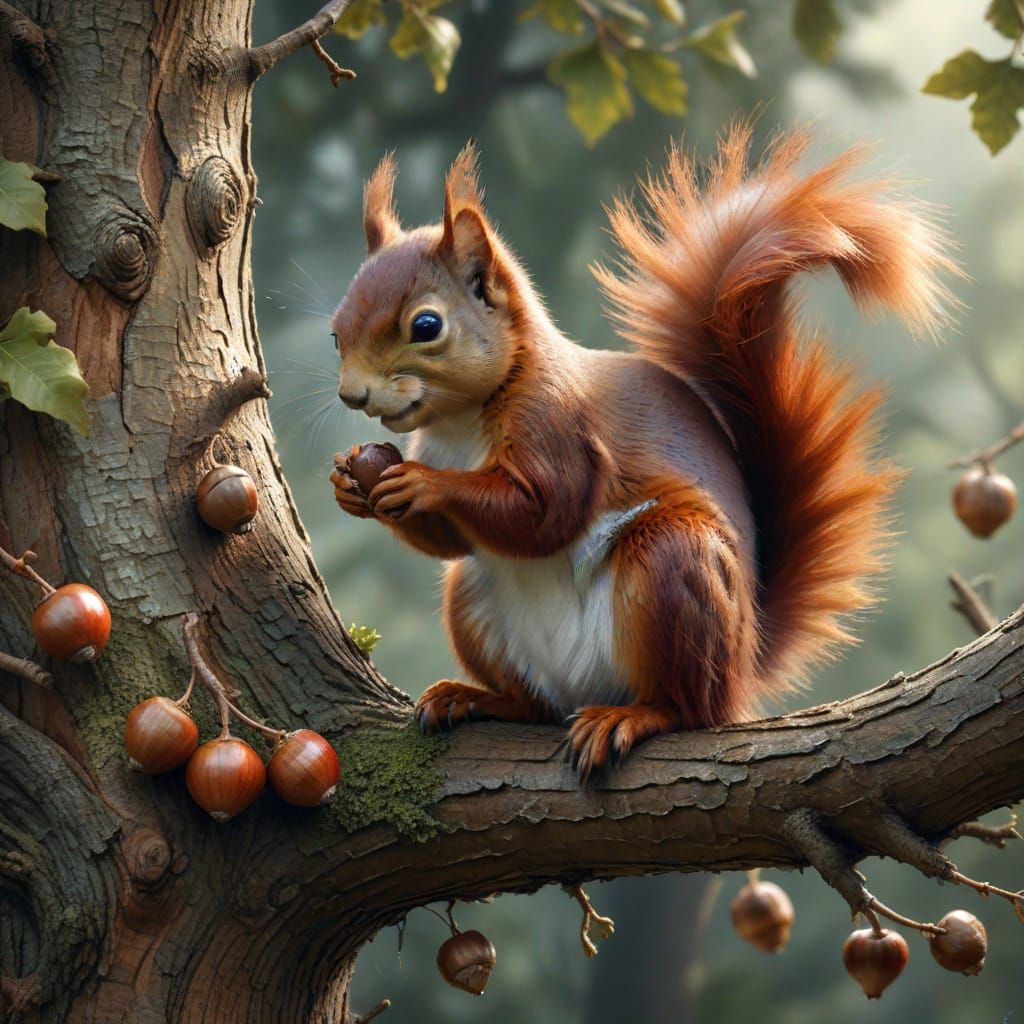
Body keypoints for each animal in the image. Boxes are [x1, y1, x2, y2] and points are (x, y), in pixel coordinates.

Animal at [329, 125, 955, 781]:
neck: (460, 424)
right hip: (473, 601)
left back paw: (632, 716)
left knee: (687, 706)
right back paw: (476, 697)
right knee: (534, 702)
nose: (353, 395)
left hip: (672, 565)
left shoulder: (557, 428)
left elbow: (543, 513)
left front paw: (423, 483)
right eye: (336, 331)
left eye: (426, 326)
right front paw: (352, 485)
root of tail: (743, 664)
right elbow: (452, 541)